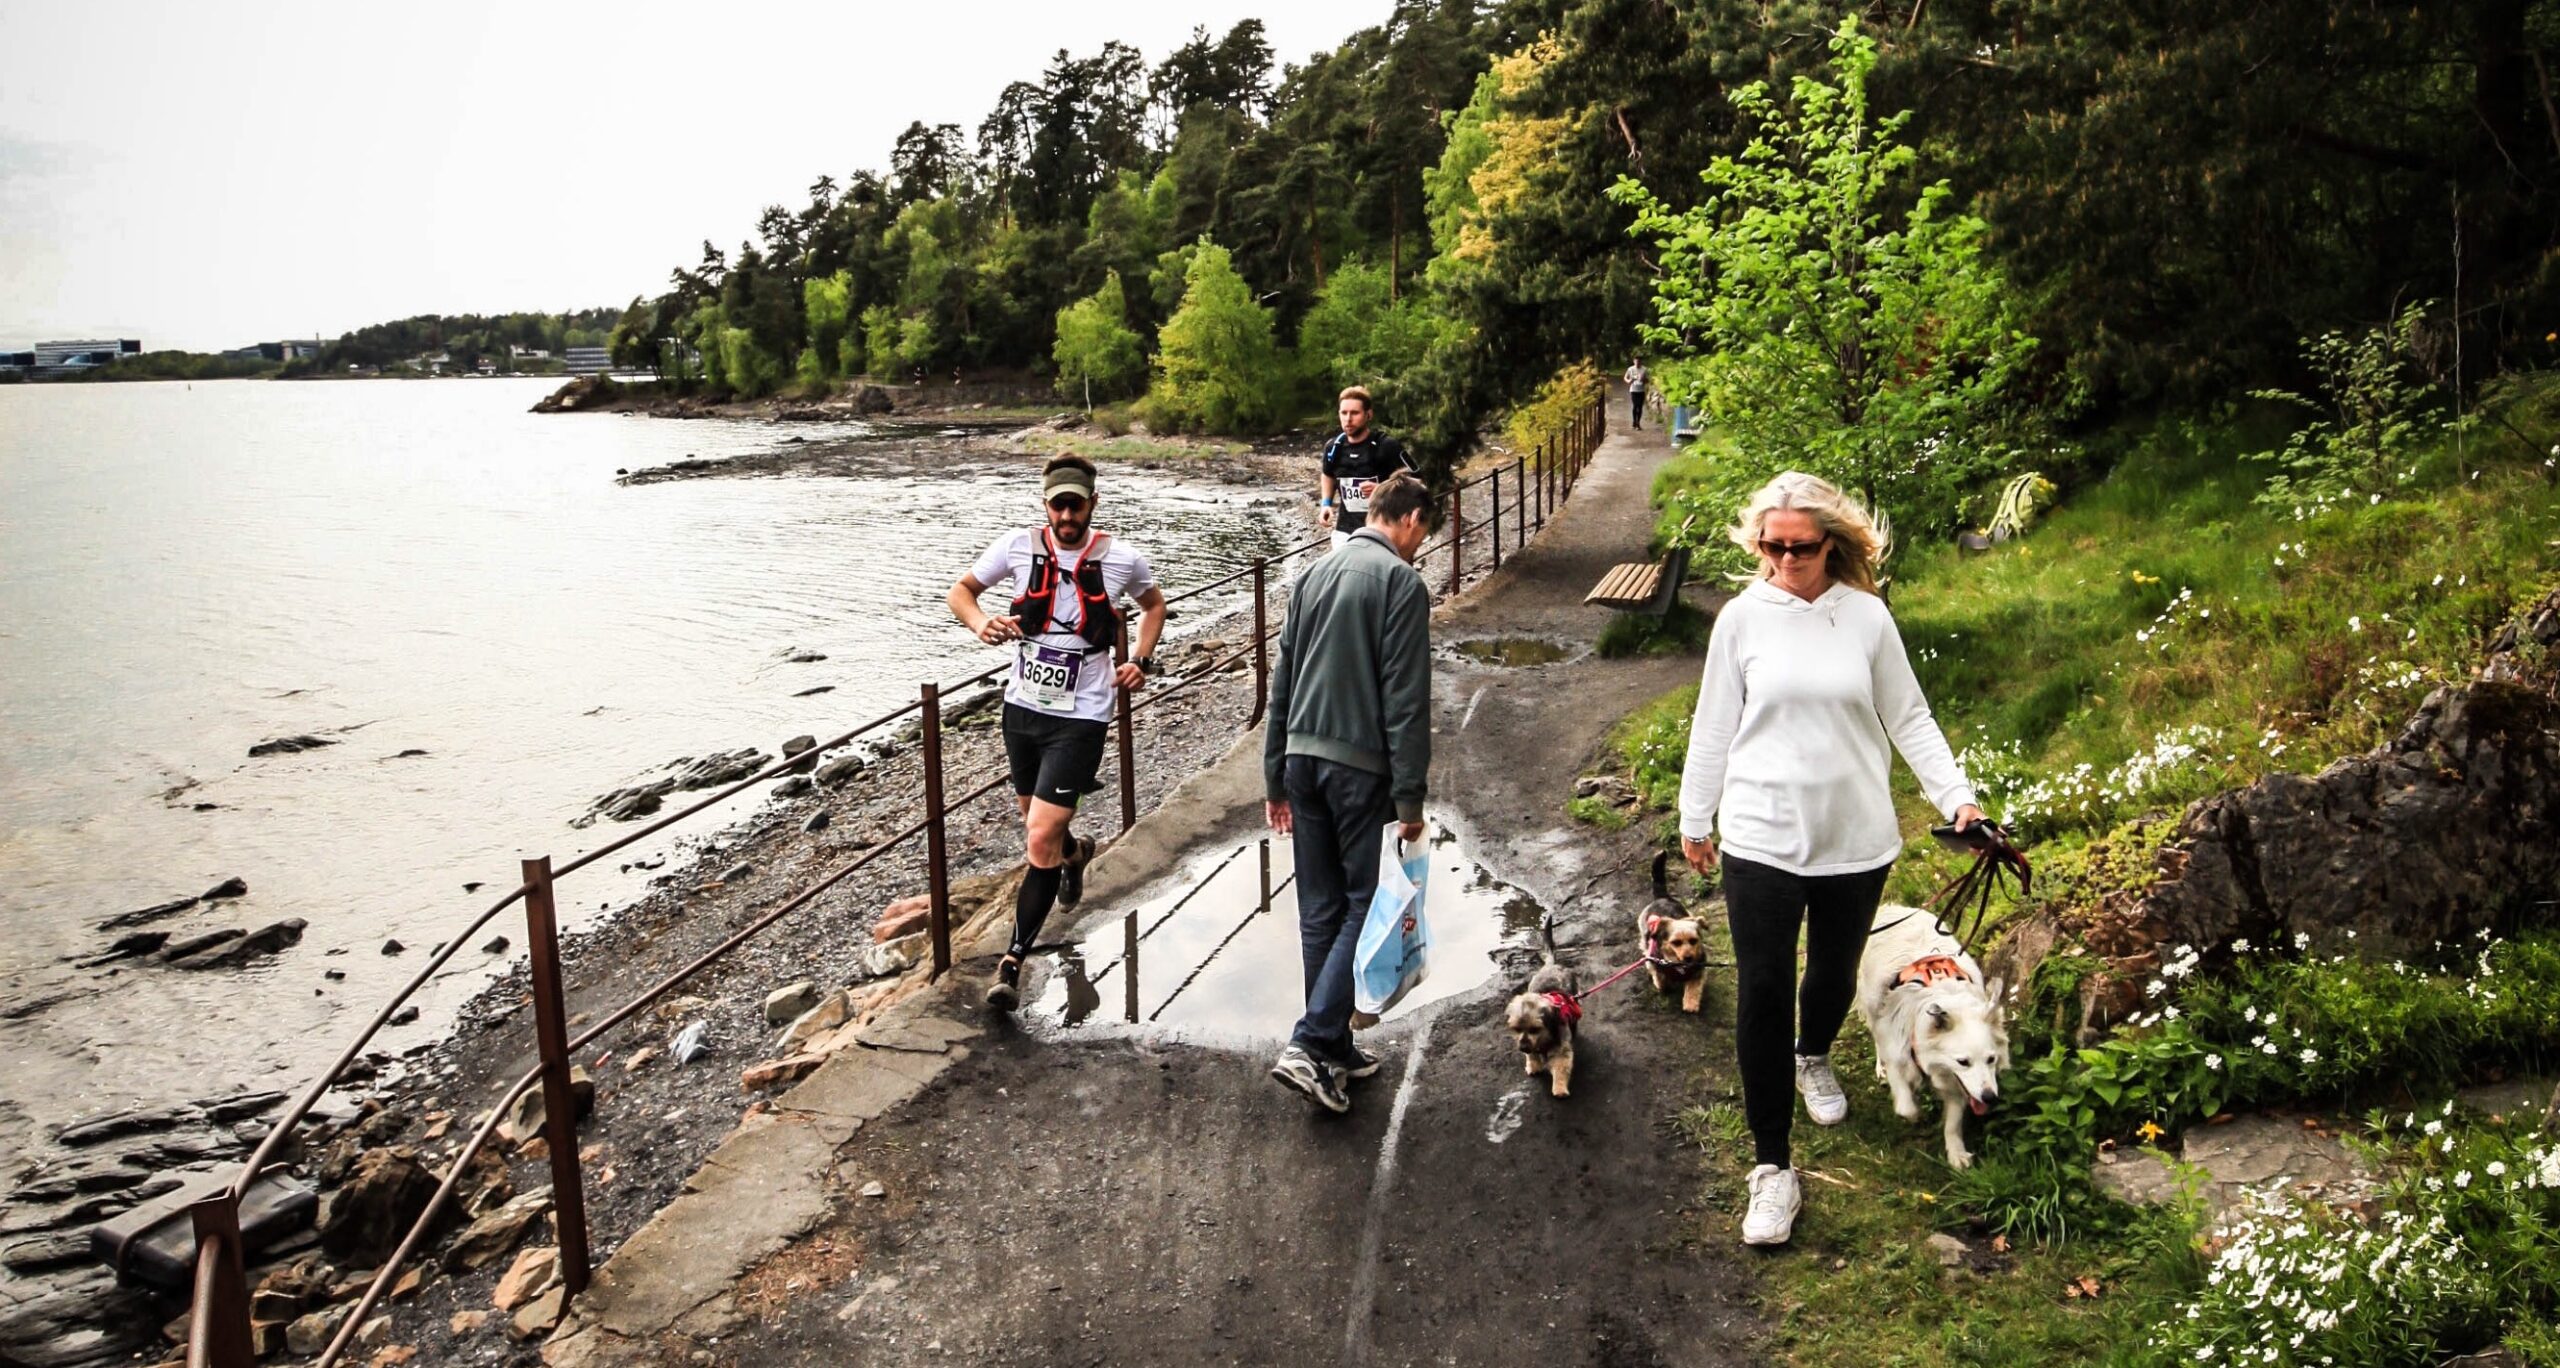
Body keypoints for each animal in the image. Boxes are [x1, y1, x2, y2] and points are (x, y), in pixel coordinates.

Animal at [1495, 922, 1576, 1106]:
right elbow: (1532, 1055)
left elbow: (1561, 1067)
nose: (1523, 1048)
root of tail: (1551, 965)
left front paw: (1559, 1088)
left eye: (1535, 1029)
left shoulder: (1561, 1049)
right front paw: (1533, 1065)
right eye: (1517, 1029)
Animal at [1648, 860, 1710, 1019]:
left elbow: (1693, 988)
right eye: (1676, 943)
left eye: (1694, 941)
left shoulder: (1697, 970)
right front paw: (1662, 986)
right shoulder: (1655, 961)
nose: (1688, 957)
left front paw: (1691, 1004)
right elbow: (1660, 977)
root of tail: (1662, 897)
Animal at [1863, 912, 1996, 1168]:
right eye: (1963, 1061)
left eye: (1992, 1059)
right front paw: (1915, 1112)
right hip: (1873, 1005)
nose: (1990, 1097)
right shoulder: (1897, 1053)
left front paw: (1956, 1153)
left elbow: (1953, 1122)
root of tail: (1891, 908)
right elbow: (1906, 1106)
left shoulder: (1957, 1086)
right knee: (1876, 1036)